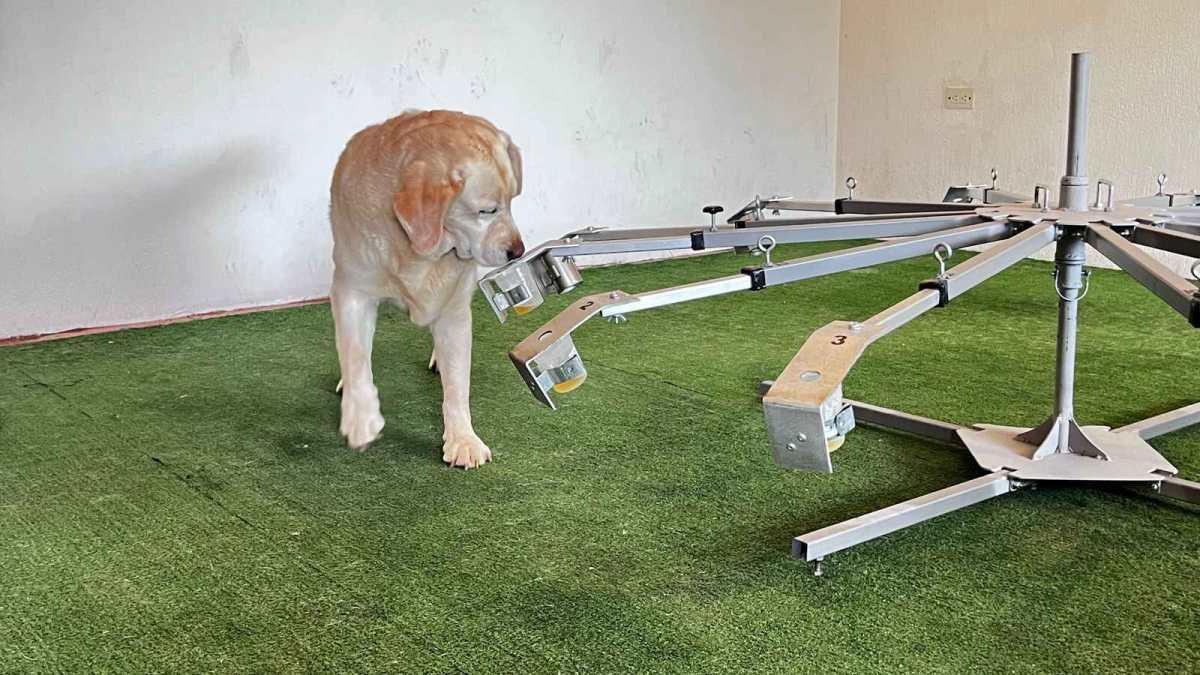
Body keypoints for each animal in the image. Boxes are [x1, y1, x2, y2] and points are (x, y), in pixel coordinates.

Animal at [329, 110, 525, 468]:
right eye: (487, 211)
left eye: (512, 201)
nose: (517, 251)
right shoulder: (352, 290)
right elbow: (355, 355)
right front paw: (361, 418)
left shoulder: (454, 310)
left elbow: (457, 385)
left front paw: (463, 439)